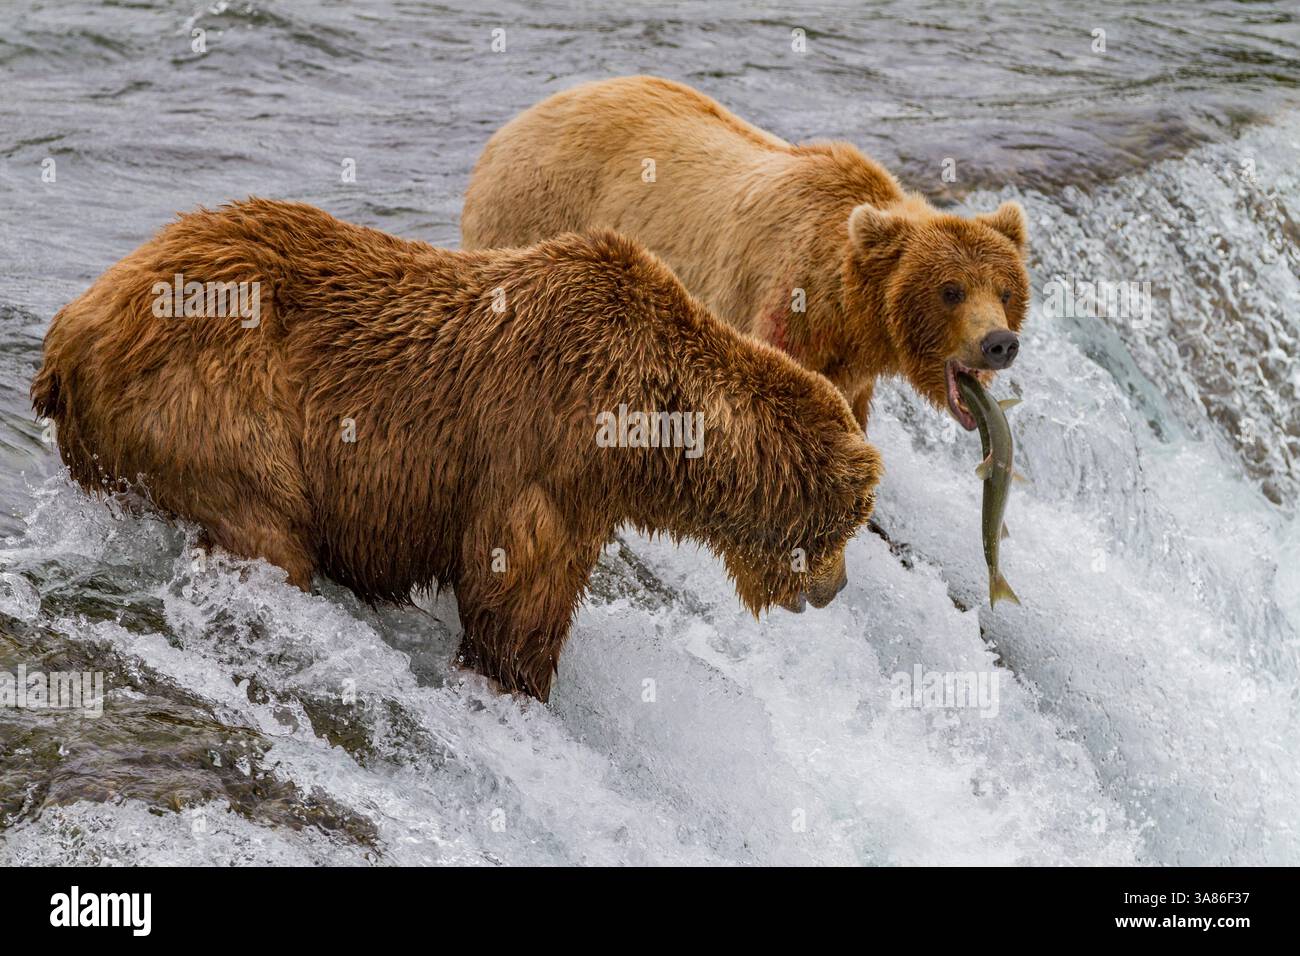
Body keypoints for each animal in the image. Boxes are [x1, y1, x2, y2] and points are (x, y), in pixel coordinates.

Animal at [32, 198, 881, 702]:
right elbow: (517, 590)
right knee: (265, 527)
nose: (837, 587)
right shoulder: (542, 448)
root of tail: (71, 328)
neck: (643, 432)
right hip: (214, 402)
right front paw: (516, 680)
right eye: (847, 521)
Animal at [461, 75, 1031, 433]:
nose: (999, 343)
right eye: (951, 290)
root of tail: (511, 126)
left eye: (1005, 291)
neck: (849, 312)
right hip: (531, 212)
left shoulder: (850, 363)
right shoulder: (785, 303)